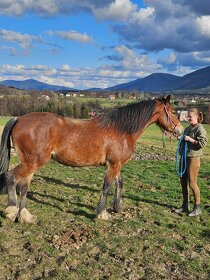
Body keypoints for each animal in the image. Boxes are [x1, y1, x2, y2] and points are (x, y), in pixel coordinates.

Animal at [0, 95, 184, 224]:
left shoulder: (116, 164)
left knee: (24, 186)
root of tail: (18, 119)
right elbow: (107, 186)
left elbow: (119, 182)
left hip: (31, 163)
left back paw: (25, 216)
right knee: (11, 177)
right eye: (173, 112)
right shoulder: (113, 165)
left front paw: (118, 207)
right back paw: (11, 211)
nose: (180, 131)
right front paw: (102, 212)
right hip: (32, 162)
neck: (123, 130)